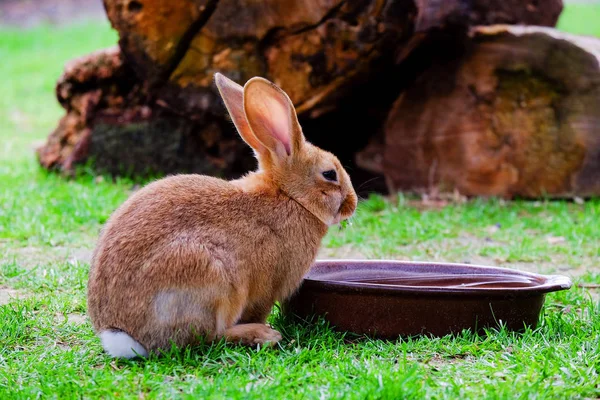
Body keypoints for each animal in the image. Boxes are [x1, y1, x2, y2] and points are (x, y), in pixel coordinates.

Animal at [85, 73, 356, 358]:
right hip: (214, 281)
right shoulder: (267, 287)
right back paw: (263, 335)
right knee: (208, 337)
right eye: (329, 174)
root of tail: (121, 334)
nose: (352, 203)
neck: (290, 197)